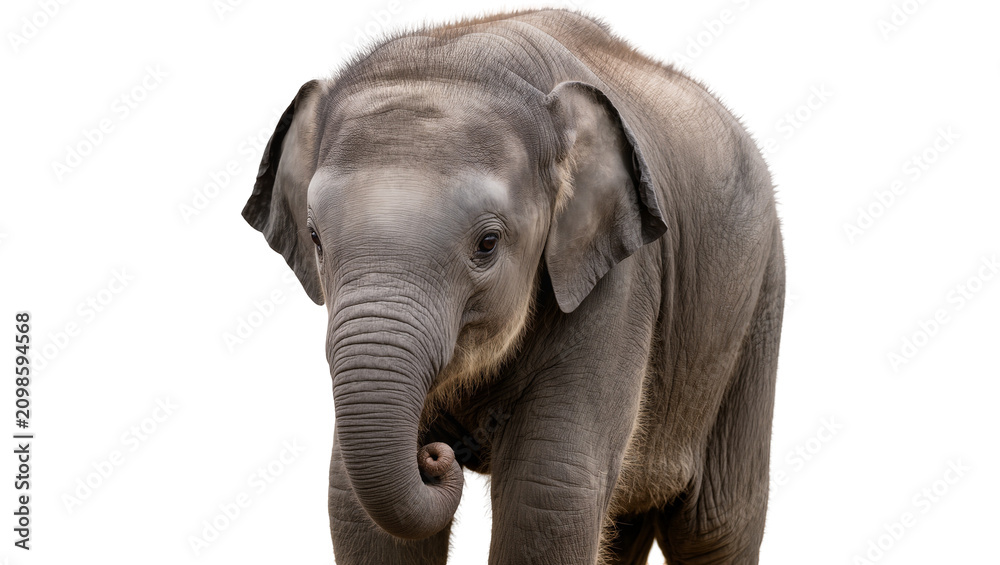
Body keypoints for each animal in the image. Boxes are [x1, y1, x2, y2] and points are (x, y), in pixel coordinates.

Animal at [242, 8, 784, 565]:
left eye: (487, 243)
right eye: (315, 238)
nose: (434, 455)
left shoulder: (621, 279)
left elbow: (547, 493)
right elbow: (358, 511)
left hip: (759, 303)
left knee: (715, 525)